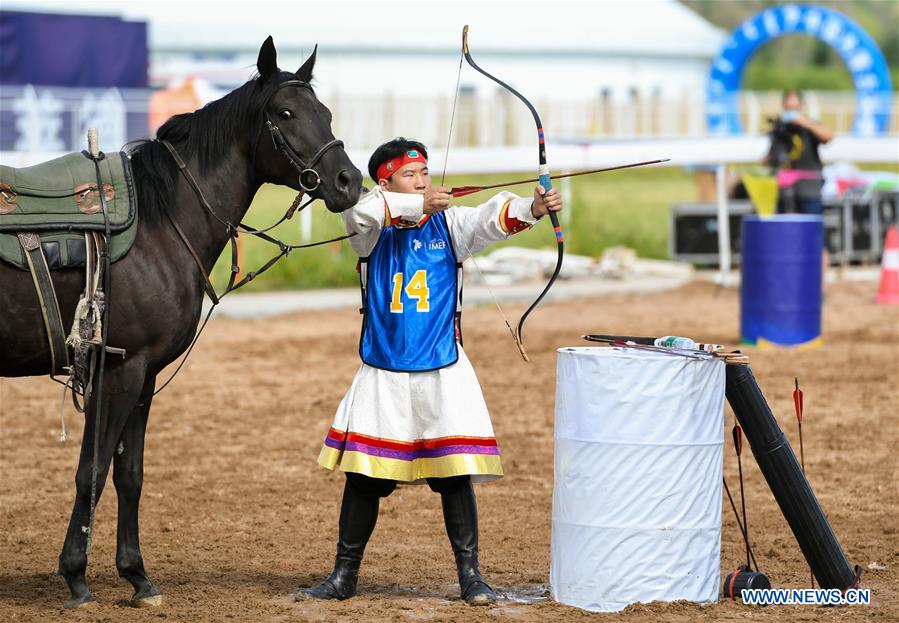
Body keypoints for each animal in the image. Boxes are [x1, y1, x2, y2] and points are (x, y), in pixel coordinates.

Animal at [3, 36, 364, 608]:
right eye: (285, 113)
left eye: (325, 113)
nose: (349, 181)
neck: (160, 220)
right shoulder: (119, 369)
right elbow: (92, 471)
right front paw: (76, 576)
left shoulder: (143, 374)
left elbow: (129, 474)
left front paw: (137, 577)